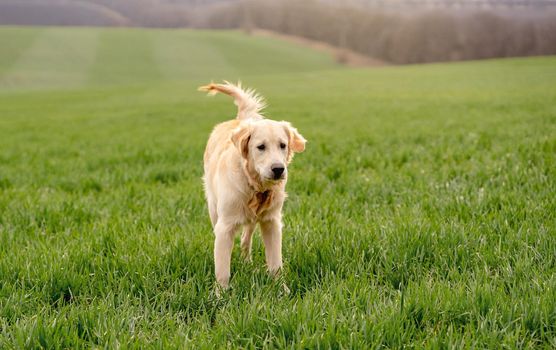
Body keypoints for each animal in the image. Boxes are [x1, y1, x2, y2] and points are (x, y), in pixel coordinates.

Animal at [199, 82, 306, 290]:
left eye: (283, 145)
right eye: (260, 147)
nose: (278, 169)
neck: (254, 185)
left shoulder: (272, 222)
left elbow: (275, 263)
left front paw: (282, 289)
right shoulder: (224, 226)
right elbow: (222, 268)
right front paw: (220, 293)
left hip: (252, 220)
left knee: (245, 239)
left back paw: (246, 262)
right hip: (214, 210)